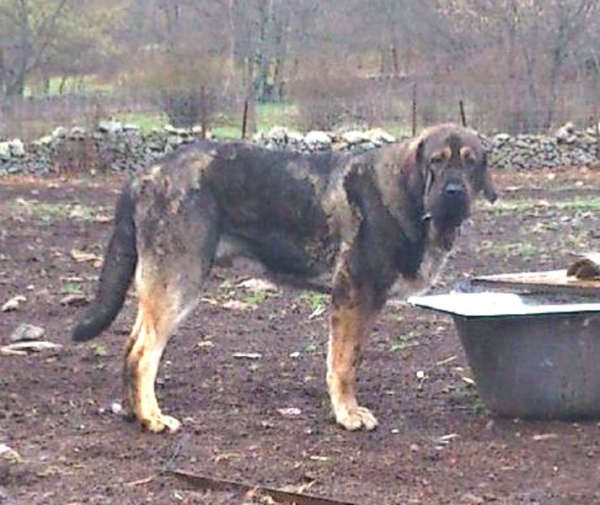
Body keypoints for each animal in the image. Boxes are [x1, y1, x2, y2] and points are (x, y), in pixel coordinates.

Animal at [72, 123, 496, 434]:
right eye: (436, 162)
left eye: (471, 163)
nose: (454, 191)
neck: (408, 196)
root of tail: (144, 176)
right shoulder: (354, 294)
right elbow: (343, 363)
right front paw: (347, 414)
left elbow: (350, 358)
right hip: (178, 281)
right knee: (143, 353)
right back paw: (153, 419)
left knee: (131, 346)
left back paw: (133, 412)